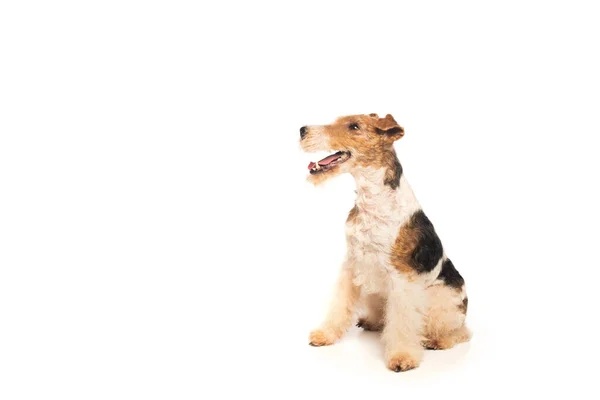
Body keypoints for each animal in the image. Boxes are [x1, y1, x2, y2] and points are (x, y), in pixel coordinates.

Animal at [298, 112, 472, 372]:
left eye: (354, 126)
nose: (302, 131)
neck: (372, 199)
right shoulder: (352, 263)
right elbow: (339, 305)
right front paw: (325, 334)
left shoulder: (401, 278)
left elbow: (402, 321)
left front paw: (402, 357)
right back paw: (371, 321)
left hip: (444, 300)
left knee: (461, 331)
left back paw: (438, 340)